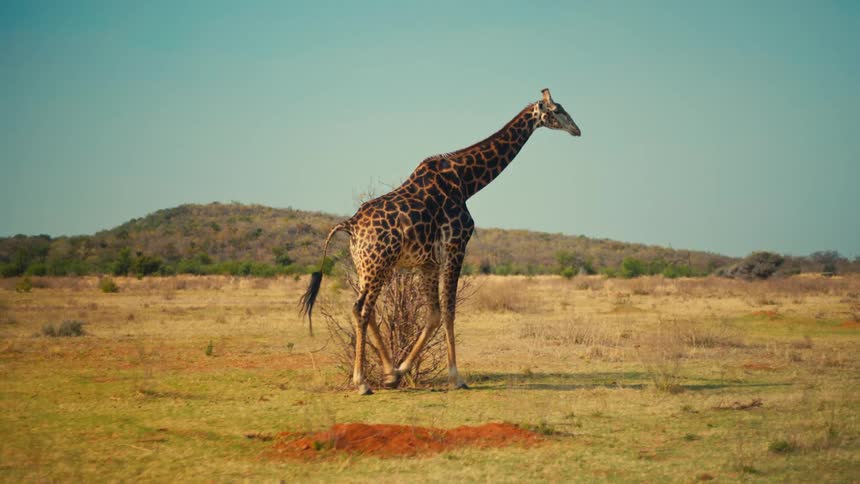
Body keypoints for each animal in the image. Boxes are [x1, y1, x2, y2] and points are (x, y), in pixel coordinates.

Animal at [300, 88, 581, 395]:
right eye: (557, 110)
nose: (576, 129)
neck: (467, 182)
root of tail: (350, 225)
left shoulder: (428, 261)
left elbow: (433, 313)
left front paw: (399, 371)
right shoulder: (456, 246)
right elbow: (449, 310)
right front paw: (456, 377)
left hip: (367, 266)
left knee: (364, 309)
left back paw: (386, 371)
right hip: (378, 264)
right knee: (361, 309)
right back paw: (361, 382)